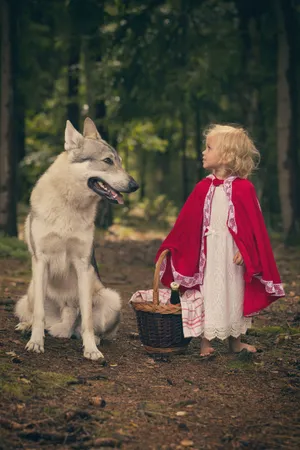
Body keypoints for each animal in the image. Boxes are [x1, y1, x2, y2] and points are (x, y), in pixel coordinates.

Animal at [14, 118, 139, 360]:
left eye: (120, 161)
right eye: (108, 161)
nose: (135, 185)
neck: (69, 205)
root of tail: (65, 315)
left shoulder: (83, 265)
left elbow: (88, 319)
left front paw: (91, 350)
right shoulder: (41, 260)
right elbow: (39, 314)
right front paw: (36, 343)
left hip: (111, 298)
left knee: (84, 328)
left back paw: (92, 338)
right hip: (30, 292)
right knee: (35, 315)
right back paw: (27, 328)